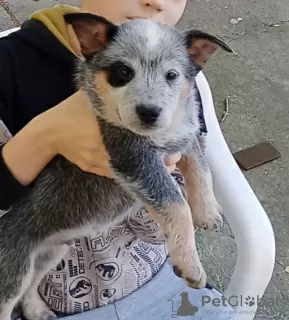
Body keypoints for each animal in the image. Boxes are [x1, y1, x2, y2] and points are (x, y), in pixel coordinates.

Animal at [0, 13, 232, 320]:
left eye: (172, 75)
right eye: (123, 72)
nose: (149, 113)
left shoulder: (186, 134)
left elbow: (200, 165)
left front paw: (208, 211)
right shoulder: (133, 156)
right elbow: (175, 203)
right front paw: (190, 264)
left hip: (50, 252)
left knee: (32, 284)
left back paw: (36, 309)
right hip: (13, 269)